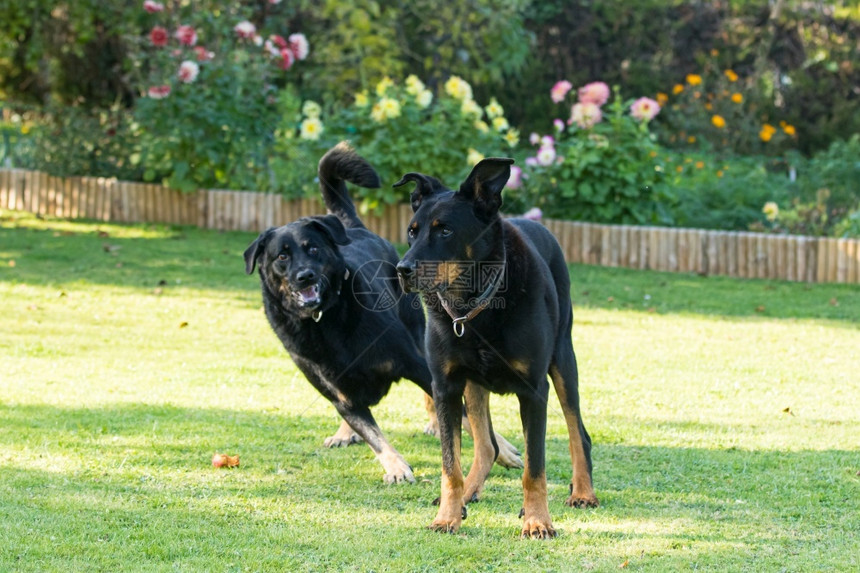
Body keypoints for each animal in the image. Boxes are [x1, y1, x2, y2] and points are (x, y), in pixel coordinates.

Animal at [245, 142, 520, 482]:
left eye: (313, 249)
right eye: (281, 256)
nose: (304, 276)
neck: (326, 320)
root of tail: (353, 228)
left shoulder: (414, 363)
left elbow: (461, 411)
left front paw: (501, 449)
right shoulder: (340, 397)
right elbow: (372, 434)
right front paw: (395, 465)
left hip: (417, 332)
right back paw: (344, 433)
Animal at [394, 155, 596, 536]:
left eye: (445, 230)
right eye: (412, 231)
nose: (402, 269)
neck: (474, 308)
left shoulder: (534, 390)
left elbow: (535, 468)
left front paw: (537, 521)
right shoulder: (446, 386)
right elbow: (450, 465)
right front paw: (447, 515)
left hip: (564, 360)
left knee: (578, 431)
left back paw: (583, 492)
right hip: (474, 383)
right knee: (486, 446)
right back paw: (467, 495)